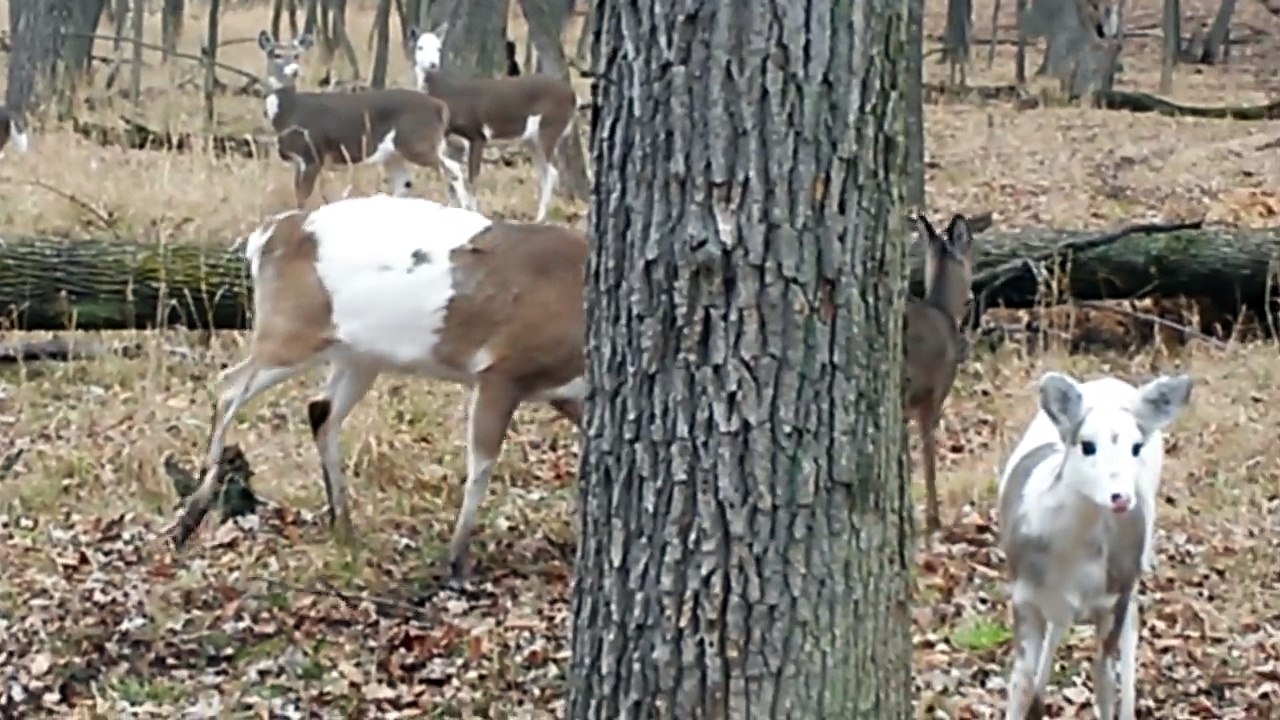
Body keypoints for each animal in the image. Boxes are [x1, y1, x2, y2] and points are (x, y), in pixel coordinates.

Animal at [164, 194, 586, 583]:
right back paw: (191, 517)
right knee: (228, 385)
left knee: (320, 409)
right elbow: (481, 466)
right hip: (291, 330)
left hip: (359, 354)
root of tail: (268, 234)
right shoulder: (502, 372)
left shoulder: (568, 395)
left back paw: (344, 527)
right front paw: (456, 563)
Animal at [256, 30, 474, 211]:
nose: (294, 70)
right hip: (396, 153)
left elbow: (303, 198)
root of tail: (440, 106)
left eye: (296, 55)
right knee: (407, 181)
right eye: (276, 54)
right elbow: (298, 195)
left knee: (452, 168)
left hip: (417, 141)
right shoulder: (298, 161)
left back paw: (466, 206)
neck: (291, 111)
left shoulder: (313, 154)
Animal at [407, 24, 578, 223]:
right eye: (420, 47)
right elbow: (452, 178)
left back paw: (540, 218)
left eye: (438, 48)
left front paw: (474, 212)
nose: (432, 65)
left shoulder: (477, 135)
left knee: (551, 172)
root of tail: (573, 96)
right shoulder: (452, 143)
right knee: (545, 172)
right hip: (532, 139)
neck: (448, 96)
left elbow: (472, 178)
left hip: (550, 127)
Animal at [997, 371, 1193, 719]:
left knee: (1131, 629)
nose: (1120, 498)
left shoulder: (1113, 598)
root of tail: (1112, 381)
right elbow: (1019, 682)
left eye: (1135, 446)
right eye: (1087, 445)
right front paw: (1030, 700)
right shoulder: (1023, 595)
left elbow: (1103, 681)